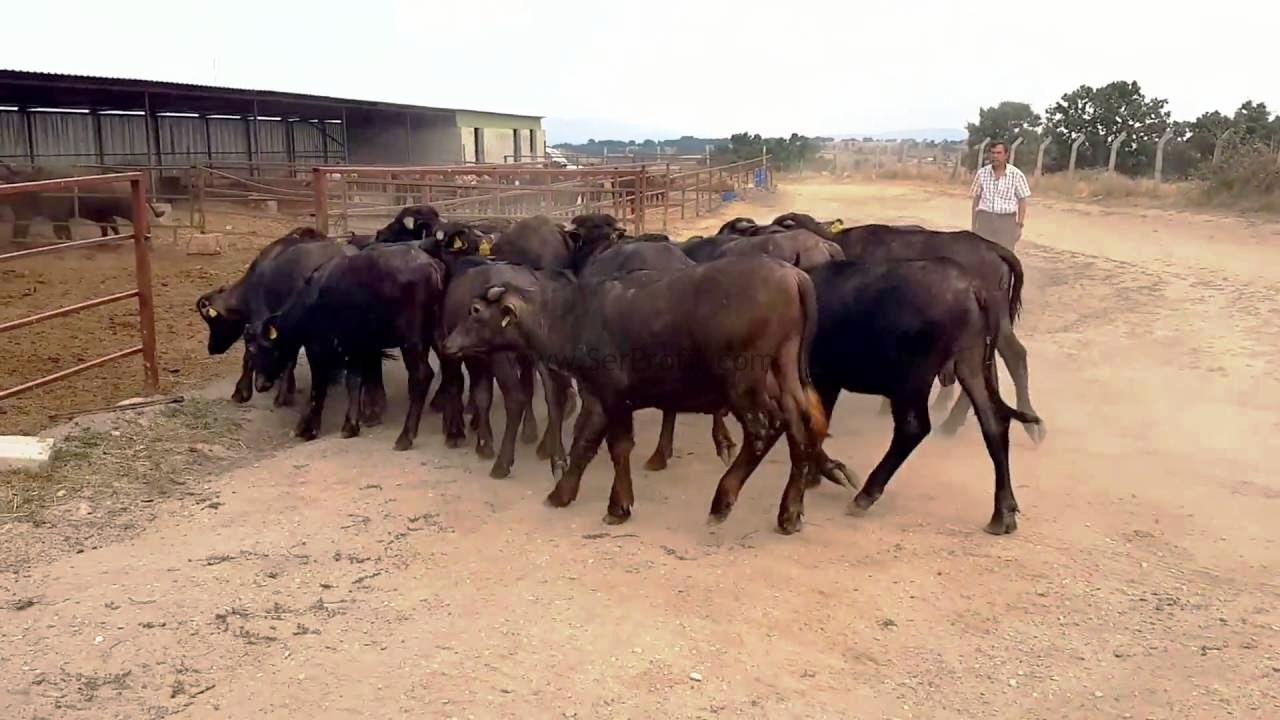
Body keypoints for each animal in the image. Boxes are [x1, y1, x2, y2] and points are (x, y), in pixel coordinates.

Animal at [247, 239, 448, 448]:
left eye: (260, 349)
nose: (260, 384)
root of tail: (431, 265)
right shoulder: (358, 347)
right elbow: (353, 381)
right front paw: (350, 425)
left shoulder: (318, 348)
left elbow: (319, 386)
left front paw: (308, 428)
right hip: (436, 333)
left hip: (412, 339)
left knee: (422, 375)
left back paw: (405, 436)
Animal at [435, 253, 844, 532]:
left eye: (475, 310)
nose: (448, 343)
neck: (573, 316)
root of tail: (793, 275)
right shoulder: (598, 396)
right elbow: (585, 444)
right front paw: (562, 493)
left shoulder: (612, 396)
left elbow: (615, 448)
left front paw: (617, 505)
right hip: (786, 372)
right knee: (801, 427)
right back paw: (790, 512)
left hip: (744, 381)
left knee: (764, 429)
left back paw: (722, 500)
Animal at [808, 256, 1039, 532]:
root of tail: (973, 288)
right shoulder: (826, 381)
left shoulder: (820, 378)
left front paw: (826, 472)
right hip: (971, 365)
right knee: (993, 424)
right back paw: (1003, 513)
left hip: (912, 379)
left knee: (913, 428)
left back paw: (864, 496)